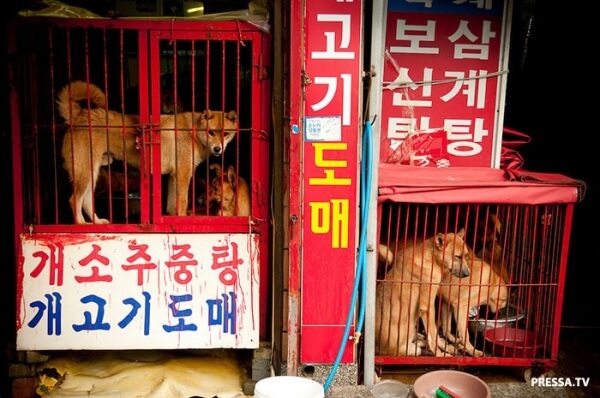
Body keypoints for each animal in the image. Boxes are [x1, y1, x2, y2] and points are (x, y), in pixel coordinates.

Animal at [58, 80, 239, 224]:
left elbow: (172, 206)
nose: (217, 149)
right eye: (211, 132)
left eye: (226, 133)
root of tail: (78, 116)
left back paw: (97, 222)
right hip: (84, 172)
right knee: (74, 200)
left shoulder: (174, 177)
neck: (193, 131)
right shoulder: (182, 175)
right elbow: (182, 203)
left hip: (92, 171)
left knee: (87, 202)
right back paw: (81, 224)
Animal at [376, 230, 474, 358]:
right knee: (421, 344)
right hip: (411, 349)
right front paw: (439, 354)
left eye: (466, 256)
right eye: (457, 257)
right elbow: (433, 334)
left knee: (422, 340)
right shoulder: (427, 306)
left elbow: (434, 336)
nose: (468, 274)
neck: (431, 259)